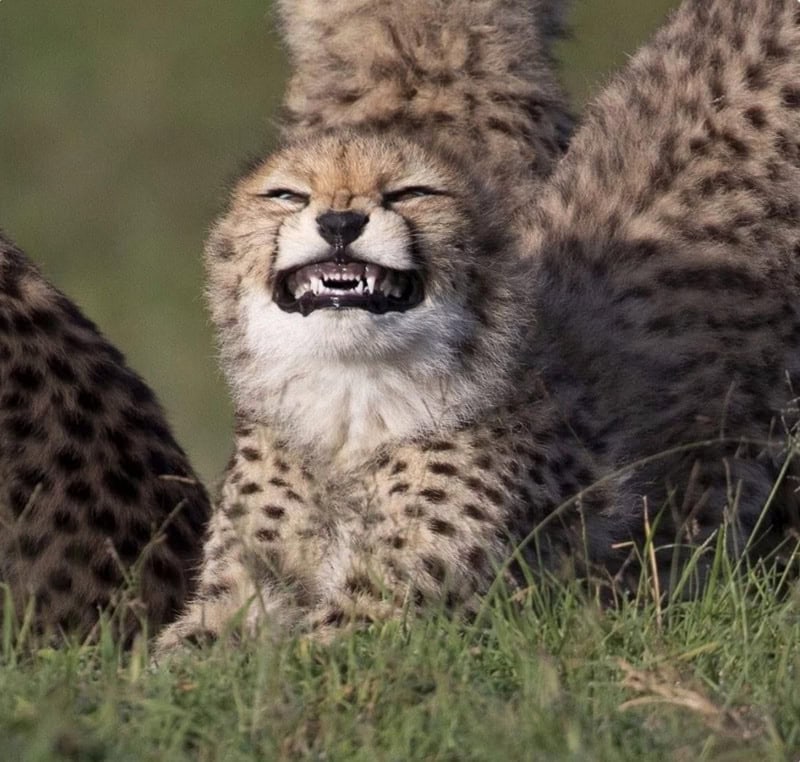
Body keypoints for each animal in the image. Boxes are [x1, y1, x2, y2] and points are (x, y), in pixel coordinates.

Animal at [157, 0, 800, 653]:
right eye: (287, 195)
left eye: (411, 192)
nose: (340, 222)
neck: (347, 407)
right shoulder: (237, 592)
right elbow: (177, 660)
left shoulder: (383, 616)